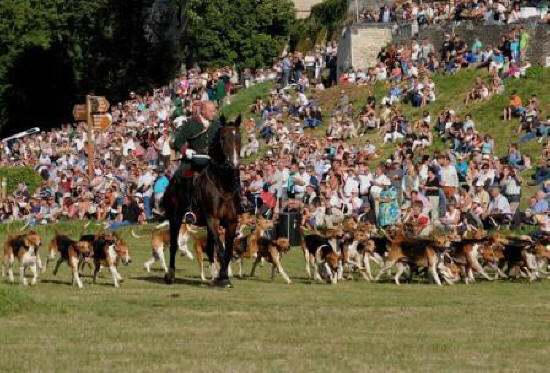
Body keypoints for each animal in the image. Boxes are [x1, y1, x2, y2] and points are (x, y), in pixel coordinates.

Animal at [163, 115, 243, 286]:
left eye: (238, 137)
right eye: (223, 138)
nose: (234, 164)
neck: (223, 185)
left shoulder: (231, 221)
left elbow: (226, 251)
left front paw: (223, 276)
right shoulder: (212, 219)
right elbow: (221, 250)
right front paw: (223, 278)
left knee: (210, 248)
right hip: (175, 218)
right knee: (173, 246)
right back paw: (170, 275)